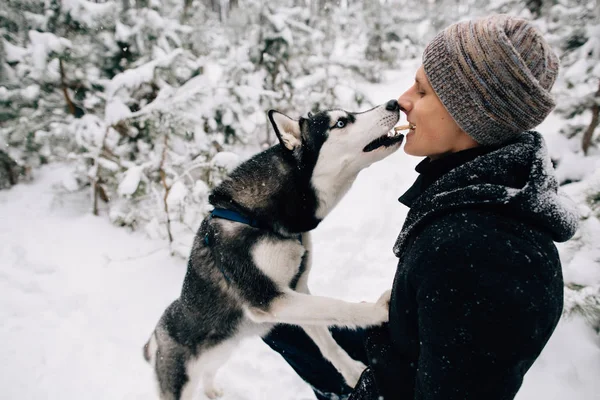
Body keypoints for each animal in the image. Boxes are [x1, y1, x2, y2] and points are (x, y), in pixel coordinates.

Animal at [144, 98, 404, 398]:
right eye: (340, 123)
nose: (393, 103)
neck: (261, 218)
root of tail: (155, 335)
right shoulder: (269, 298)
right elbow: (335, 306)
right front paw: (375, 311)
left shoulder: (297, 289)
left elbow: (326, 338)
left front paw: (351, 372)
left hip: (222, 351)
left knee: (209, 371)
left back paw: (213, 391)